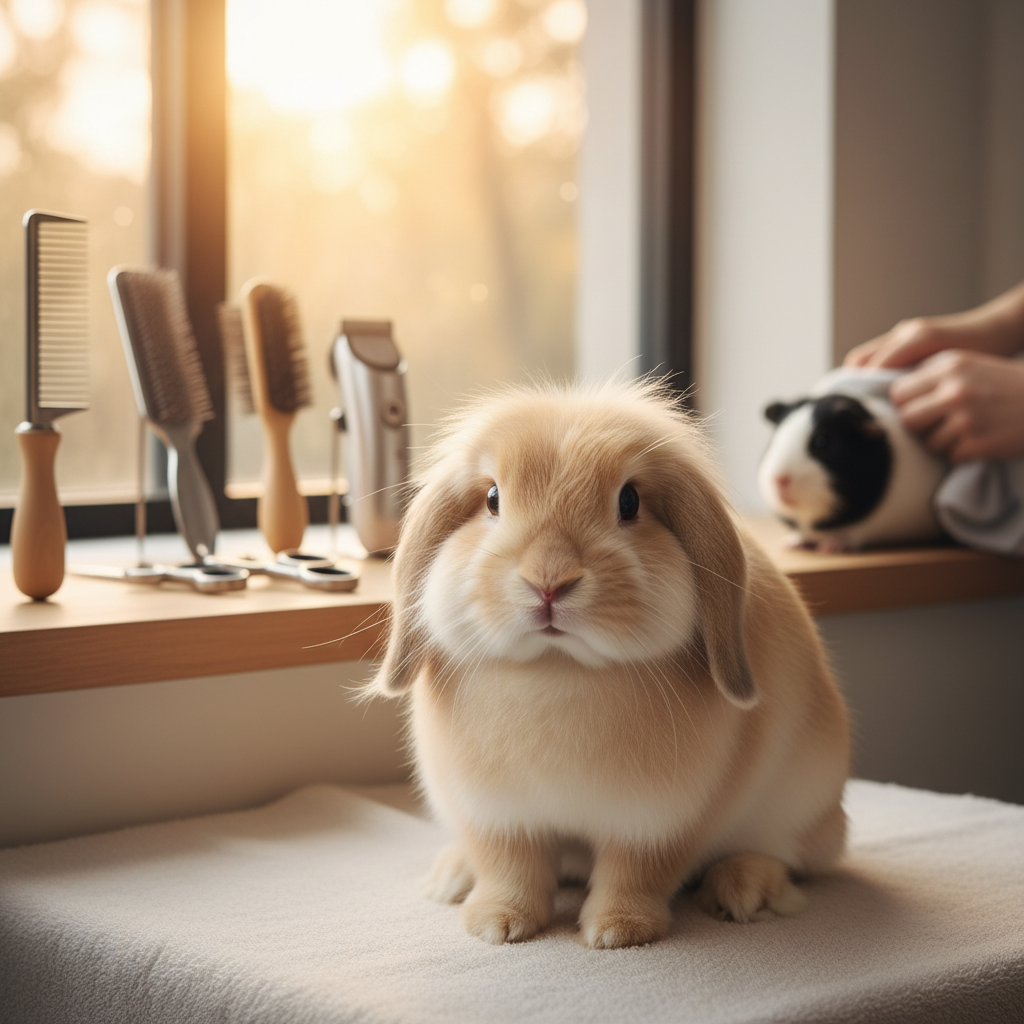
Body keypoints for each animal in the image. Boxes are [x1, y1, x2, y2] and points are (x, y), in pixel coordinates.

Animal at [369, 379, 850, 949]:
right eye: (492, 499)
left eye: (629, 501)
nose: (548, 581)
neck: (559, 670)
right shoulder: (498, 817)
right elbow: (510, 869)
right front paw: (496, 924)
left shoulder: (657, 823)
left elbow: (635, 874)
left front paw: (618, 932)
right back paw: (452, 877)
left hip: (800, 800)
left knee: (786, 855)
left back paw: (744, 888)